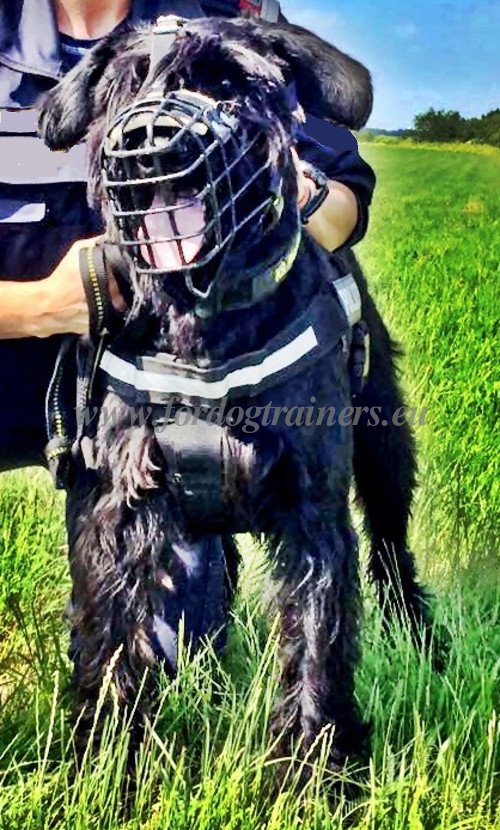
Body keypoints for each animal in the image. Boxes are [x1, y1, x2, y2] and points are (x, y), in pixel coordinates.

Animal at [39, 17, 436, 772]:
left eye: (228, 81)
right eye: (125, 84)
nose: (148, 143)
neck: (206, 327)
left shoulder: (314, 512)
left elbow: (315, 646)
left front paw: (316, 771)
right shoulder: (117, 505)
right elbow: (113, 641)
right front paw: (104, 763)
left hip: (384, 445)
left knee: (392, 543)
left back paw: (421, 632)